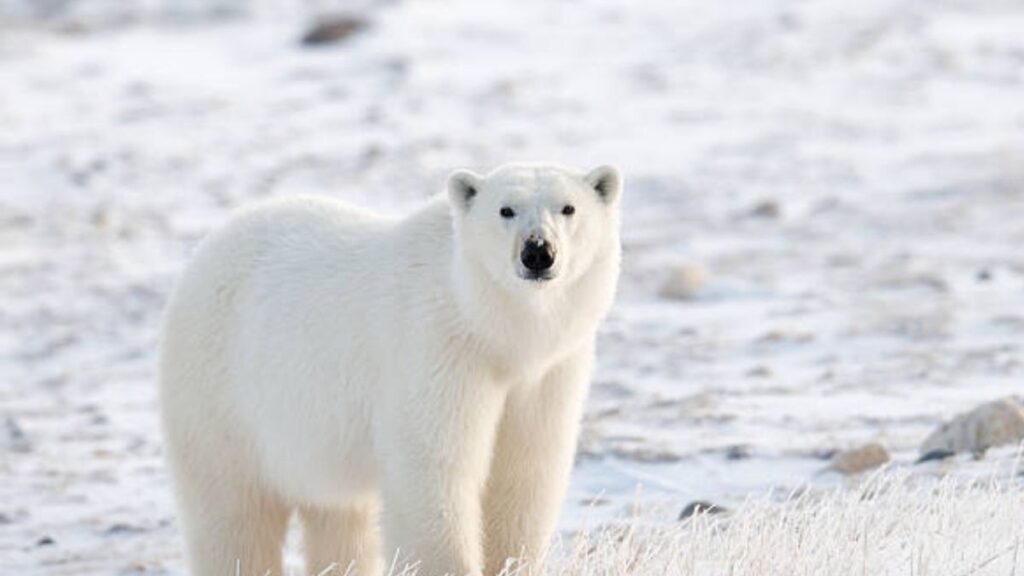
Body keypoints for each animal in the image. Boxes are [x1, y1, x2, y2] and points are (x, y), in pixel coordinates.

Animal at [159, 163, 623, 576]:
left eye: (568, 208)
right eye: (505, 209)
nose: (538, 251)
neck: (492, 330)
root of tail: (206, 249)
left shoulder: (547, 372)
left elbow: (524, 473)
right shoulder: (436, 350)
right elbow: (434, 466)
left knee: (339, 518)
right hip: (222, 397)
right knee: (233, 516)